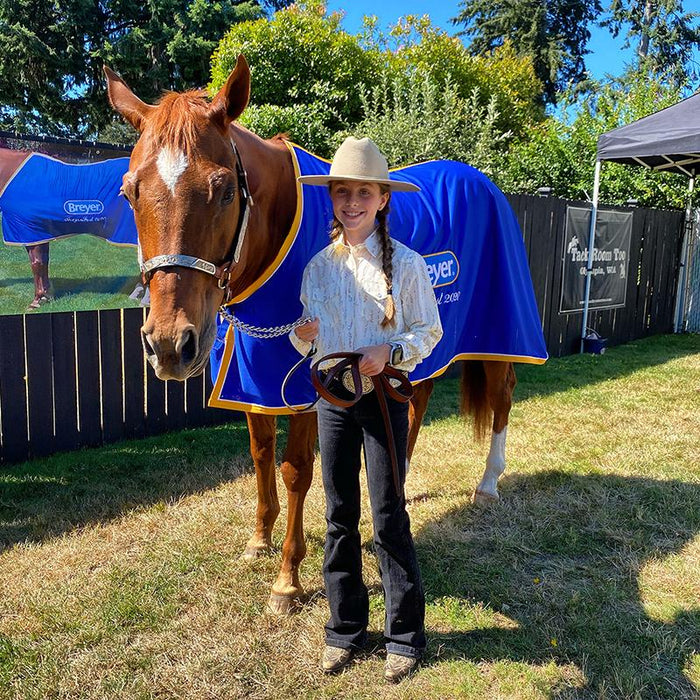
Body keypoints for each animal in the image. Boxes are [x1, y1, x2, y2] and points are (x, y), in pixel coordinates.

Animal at [106, 54, 548, 612]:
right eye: (129, 191)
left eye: (224, 188)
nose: (168, 345)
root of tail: (486, 184)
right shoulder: (254, 379)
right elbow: (260, 456)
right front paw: (259, 539)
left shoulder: (306, 382)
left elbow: (296, 469)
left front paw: (287, 581)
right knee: (416, 397)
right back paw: (401, 480)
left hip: (499, 334)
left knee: (502, 394)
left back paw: (488, 483)